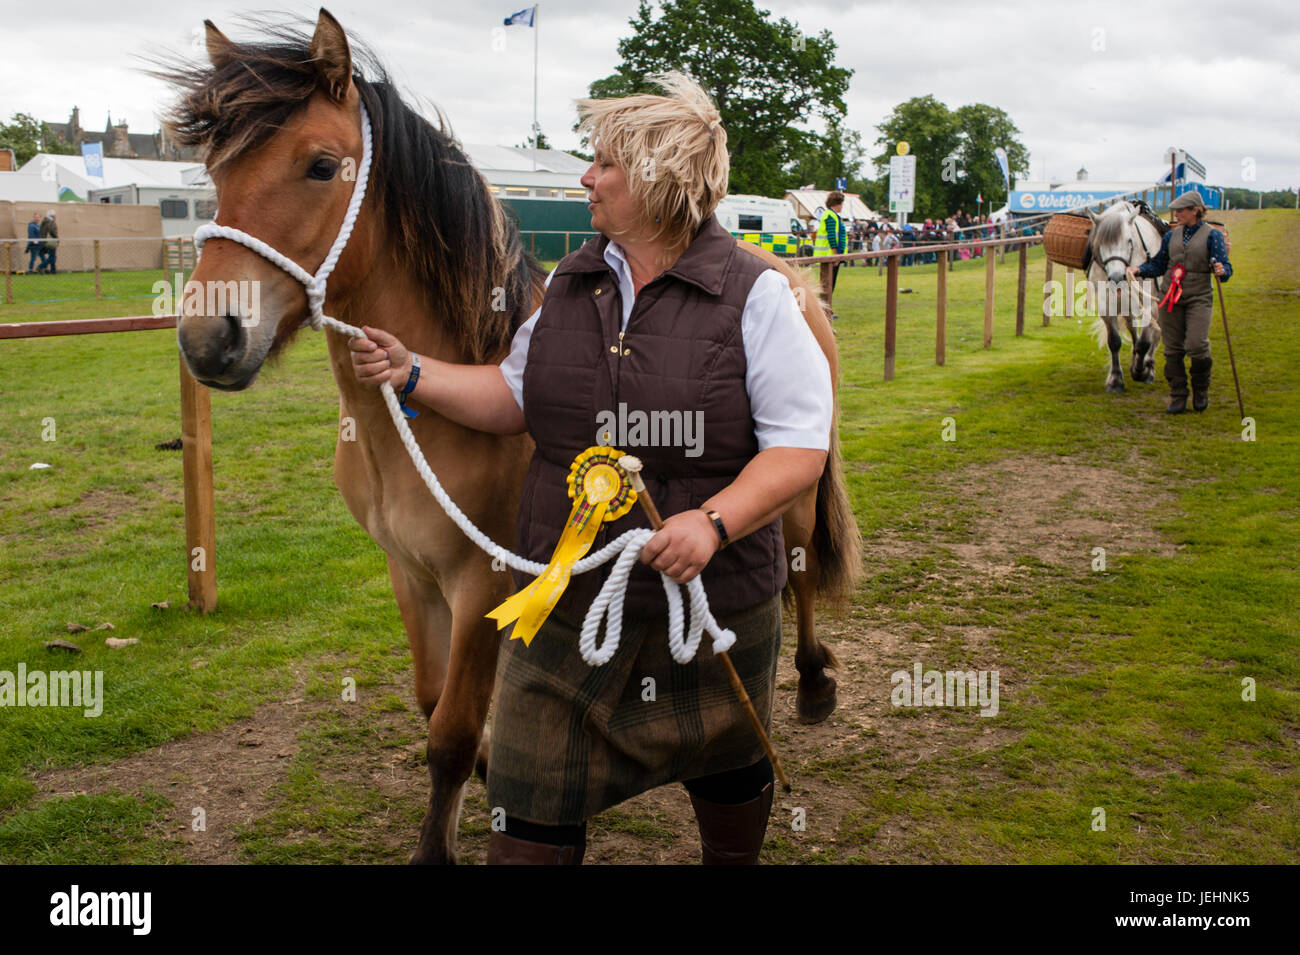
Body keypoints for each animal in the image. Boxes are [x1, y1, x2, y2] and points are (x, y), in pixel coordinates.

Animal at [1081, 200, 1164, 394]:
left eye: (1129, 241)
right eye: (1100, 243)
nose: (1117, 277)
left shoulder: (1149, 305)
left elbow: (1145, 342)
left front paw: (1141, 371)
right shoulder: (1107, 305)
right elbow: (1114, 341)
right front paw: (1116, 379)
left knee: (1155, 334)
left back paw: (1148, 367)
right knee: (1133, 329)